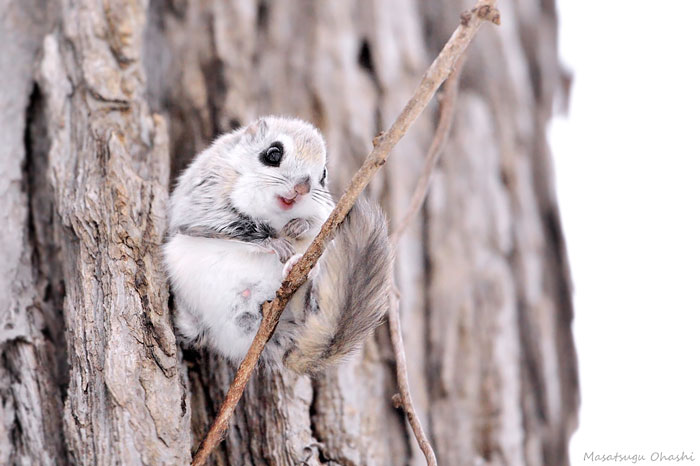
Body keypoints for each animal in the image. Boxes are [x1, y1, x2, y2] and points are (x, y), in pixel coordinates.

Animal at [162, 116, 392, 374]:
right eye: (273, 154)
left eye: (323, 175)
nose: (302, 188)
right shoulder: (206, 200)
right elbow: (233, 227)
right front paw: (275, 242)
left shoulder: (326, 212)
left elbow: (318, 224)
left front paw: (299, 226)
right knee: (194, 331)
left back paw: (299, 270)